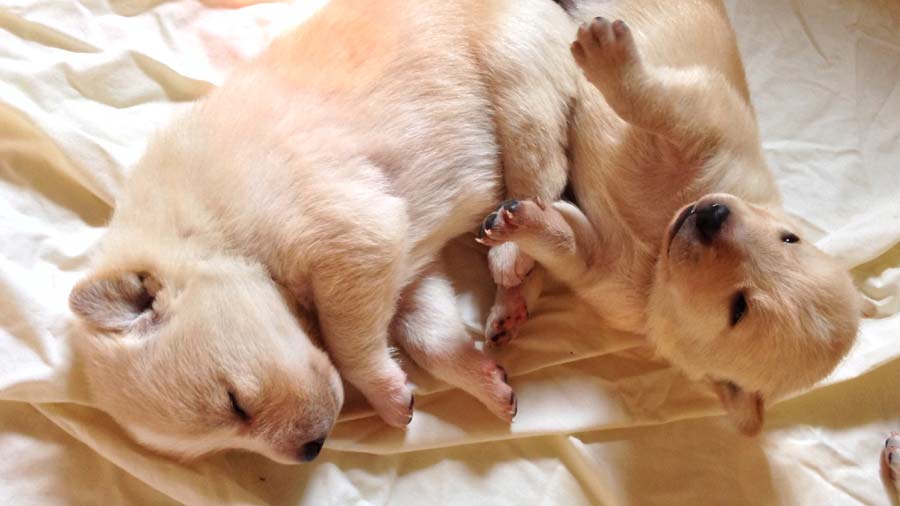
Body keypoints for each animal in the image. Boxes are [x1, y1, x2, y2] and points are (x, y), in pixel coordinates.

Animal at [70, 0, 576, 464]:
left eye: (237, 404)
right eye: (223, 444)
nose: (312, 450)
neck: (204, 233)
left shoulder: (358, 238)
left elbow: (346, 343)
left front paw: (386, 395)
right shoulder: (409, 264)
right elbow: (426, 333)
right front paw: (483, 382)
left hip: (516, 77)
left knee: (540, 176)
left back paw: (507, 253)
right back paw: (508, 309)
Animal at [482, 0, 860, 434]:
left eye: (739, 309)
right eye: (789, 238)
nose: (711, 215)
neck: (660, 235)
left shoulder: (607, 273)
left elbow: (567, 243)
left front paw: (519, 224)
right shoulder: (711, 118)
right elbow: (661, 106)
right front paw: (609, 55)